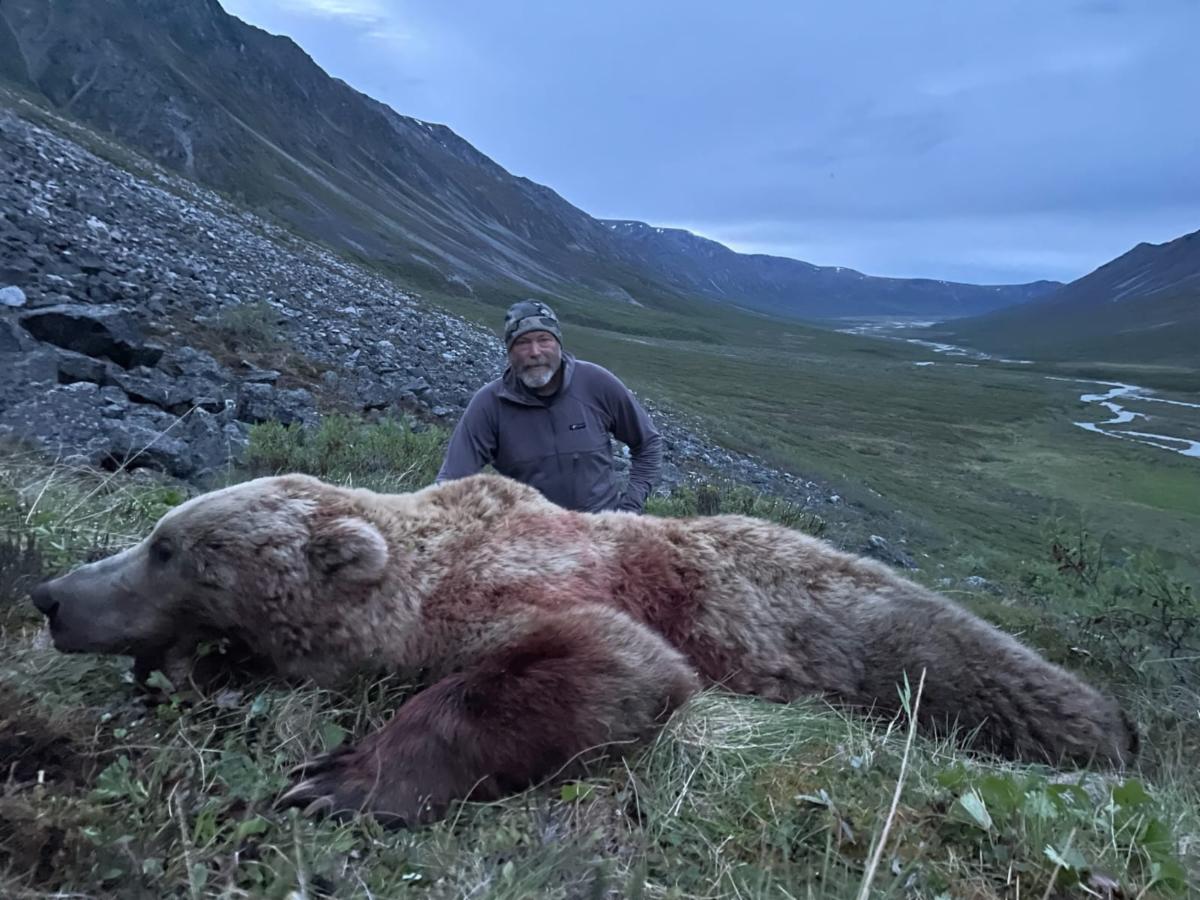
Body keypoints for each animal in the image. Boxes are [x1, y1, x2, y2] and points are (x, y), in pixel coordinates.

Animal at [29, 471, 1138, 826]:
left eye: (169, 546)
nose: (49, 596)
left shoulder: (518, 585)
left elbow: (616, 663)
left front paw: (340, 778)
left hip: (906, 640)